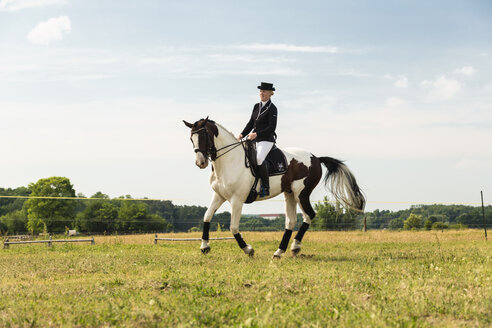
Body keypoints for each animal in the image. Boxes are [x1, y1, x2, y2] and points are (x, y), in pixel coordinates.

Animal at [183, 116, 364, 258]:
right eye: (191, 139)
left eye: (204, 136)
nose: (201, 163)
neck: (229, 161)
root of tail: (316, 158)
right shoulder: (219, 196)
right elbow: (207, 217)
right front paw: (205, 246)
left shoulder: (237, 199)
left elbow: (233, 227)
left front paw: (248, 249)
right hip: (289, 194)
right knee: (291, 221)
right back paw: (279, 252)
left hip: (301, 193)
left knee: (309, 215)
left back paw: (295, 247)